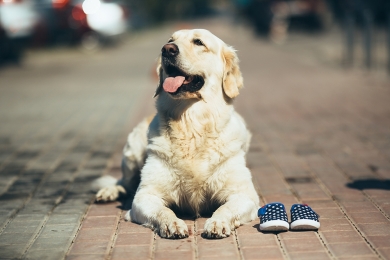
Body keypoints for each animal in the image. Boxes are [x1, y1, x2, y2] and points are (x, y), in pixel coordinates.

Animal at [93, 29, 258, 239]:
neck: (191, 125)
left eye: (198, 42)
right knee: (124, 182)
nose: (167, 49)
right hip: (132, 153)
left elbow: (225, 208)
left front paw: (217, 222)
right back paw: (109, 191)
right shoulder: (145, 196)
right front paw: (172, 224)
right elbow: (162, 210)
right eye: (170, 40)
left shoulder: (244, 194)